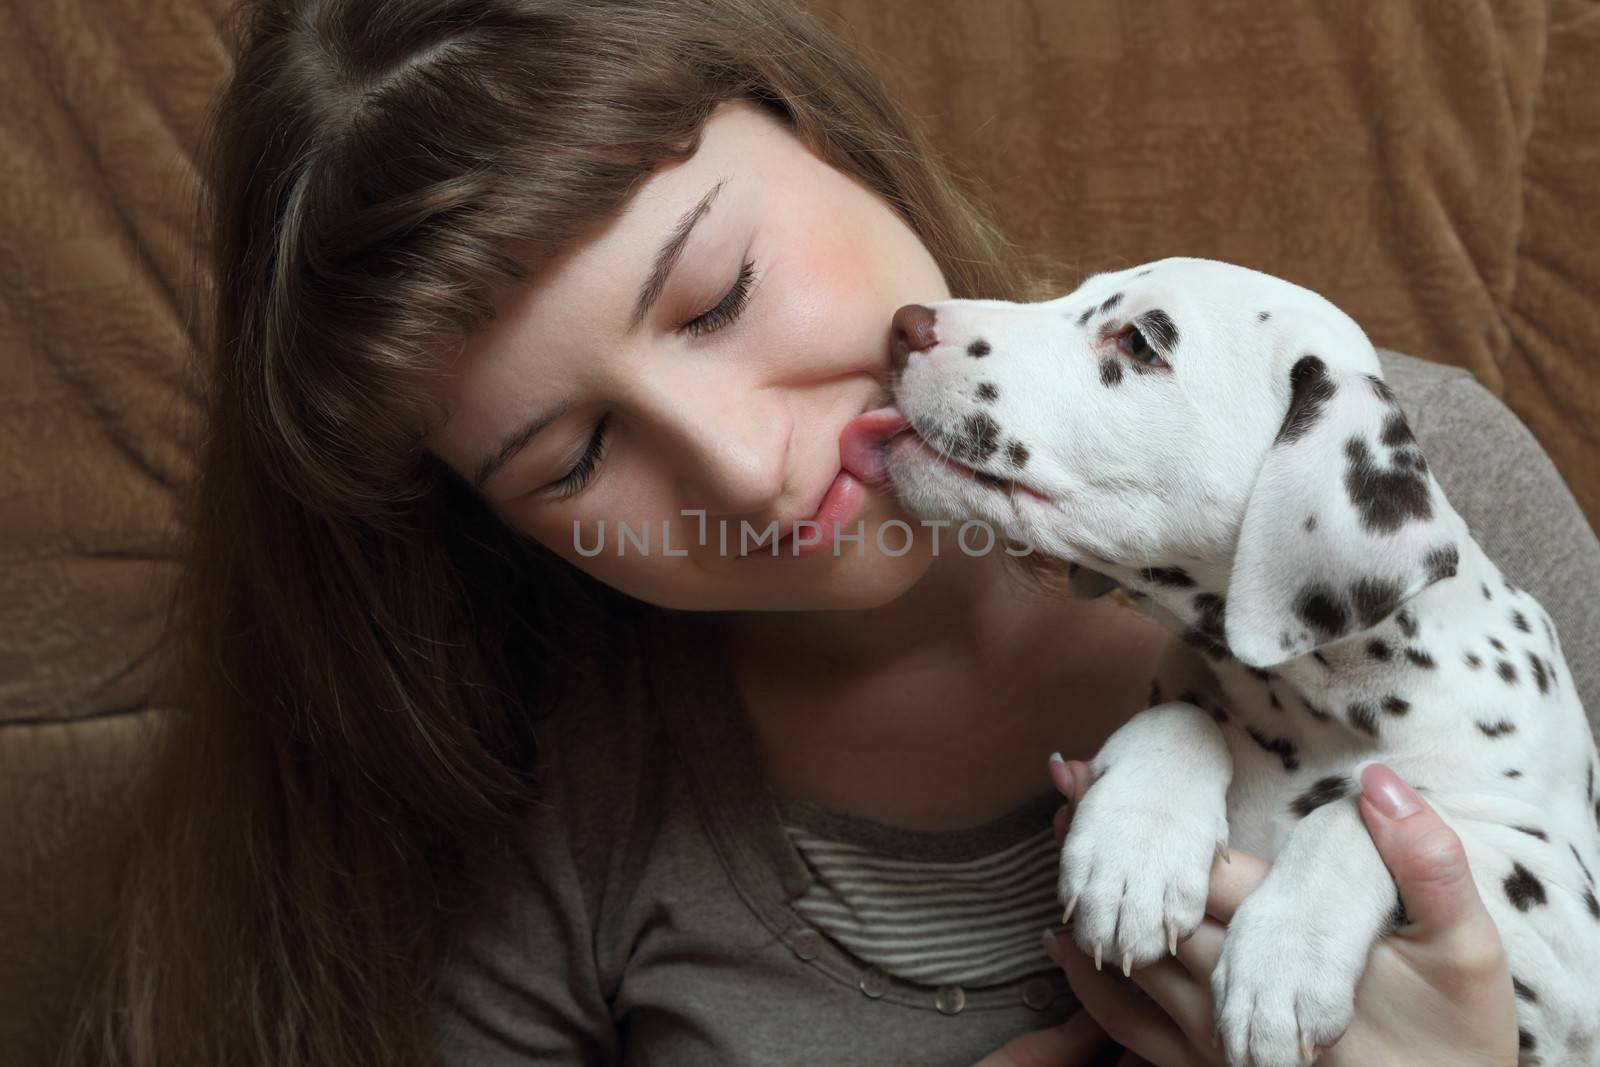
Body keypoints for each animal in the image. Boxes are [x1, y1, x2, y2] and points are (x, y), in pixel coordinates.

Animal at [883, 259, 1600, 1067]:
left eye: (1140, 341)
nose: (904, 324)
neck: (1322, 701)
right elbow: (1181, 715)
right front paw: (1134, 849)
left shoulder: (1567, 950)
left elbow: (1365, 812)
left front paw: (1285, 956)